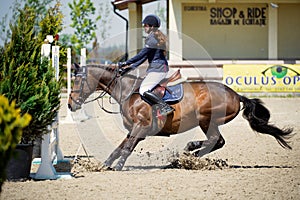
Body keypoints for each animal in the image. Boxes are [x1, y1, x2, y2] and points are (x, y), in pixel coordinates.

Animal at [67, 63, 292, 170]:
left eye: (78, 82)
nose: (70, 104)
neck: (128, 91)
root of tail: (236, 95)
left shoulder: (141, 128)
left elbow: (127, 148)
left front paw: (118, 167)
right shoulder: (135, 130)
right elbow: (118, 148)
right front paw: (104, 165)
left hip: (206, 118)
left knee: (215, 140)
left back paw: (189, 153)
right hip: (207, 121)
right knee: (217, 141)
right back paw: (187, 156)